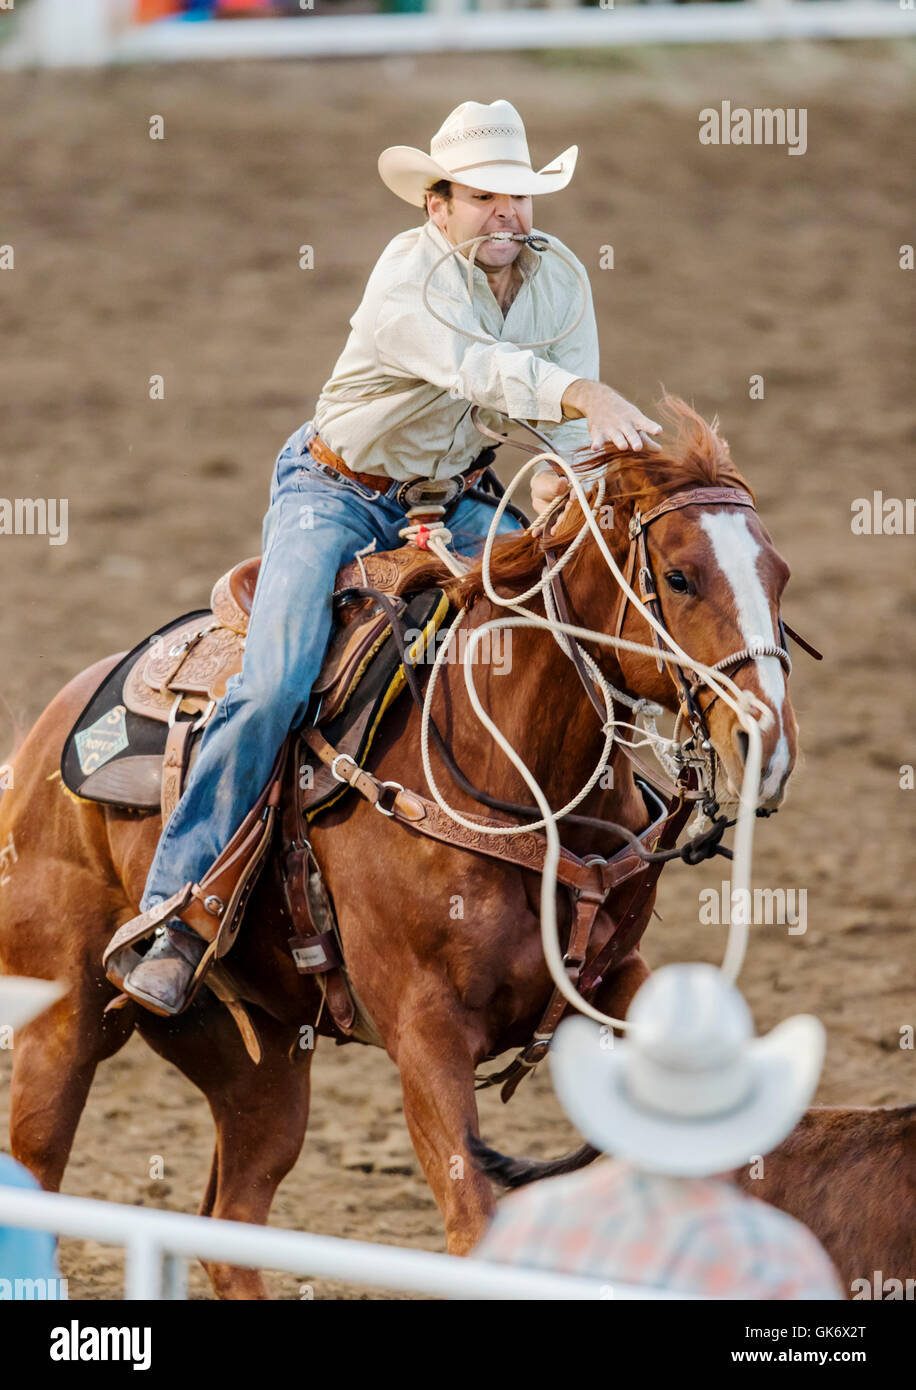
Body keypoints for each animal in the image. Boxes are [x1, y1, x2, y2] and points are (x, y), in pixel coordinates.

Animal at [0, 400, 795, 1289]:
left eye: (780, 577)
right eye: (682, 577)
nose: (768, 743)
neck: (516, 781)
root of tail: (42, 742)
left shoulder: (615, 981)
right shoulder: (425, 1032)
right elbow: (472, 1226)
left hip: (261, 1061)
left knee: (229, 1224)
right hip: (60, 1021)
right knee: (42, 1171)